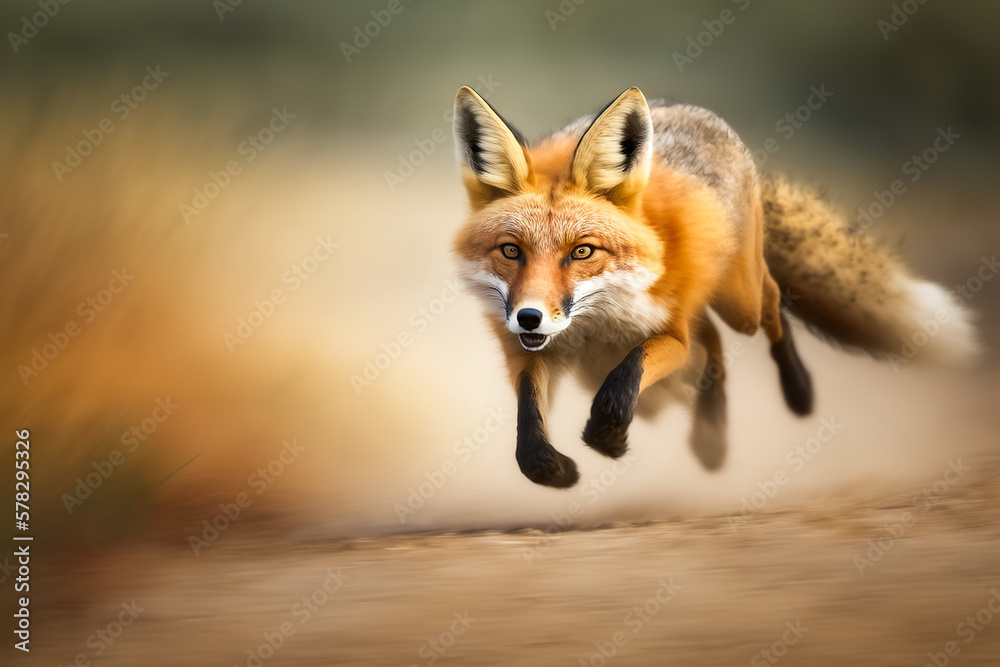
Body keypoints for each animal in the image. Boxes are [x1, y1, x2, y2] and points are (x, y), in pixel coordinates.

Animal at [451, 86, 978, 489]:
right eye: (511, 251)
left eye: (582, 252)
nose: (529, 317)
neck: (593, 326)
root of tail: (688, 108)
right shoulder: (531, 352)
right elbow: (528, 434)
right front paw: (554, 469)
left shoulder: (668, 334)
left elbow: (625, 376)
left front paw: (609, 436)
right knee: (716, 343)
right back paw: (713, 432)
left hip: (739, 299)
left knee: (769, 304)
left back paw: (797, 390)